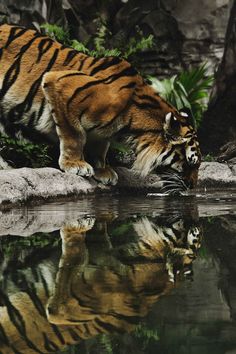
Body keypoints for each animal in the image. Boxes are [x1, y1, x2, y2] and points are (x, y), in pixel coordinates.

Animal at [0, 24, 201, 188]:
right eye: (189, 163)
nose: (192, 187)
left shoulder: (103, 133)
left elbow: (99, 148)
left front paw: (103, 171)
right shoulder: (59, 83)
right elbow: (74, 136)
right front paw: (76, 165)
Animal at [0, 214, 201, 352]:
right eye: (195, 231)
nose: (195, 218)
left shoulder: (61, 309)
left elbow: (73, 254)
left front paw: (74, 228)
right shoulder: (102, 251)